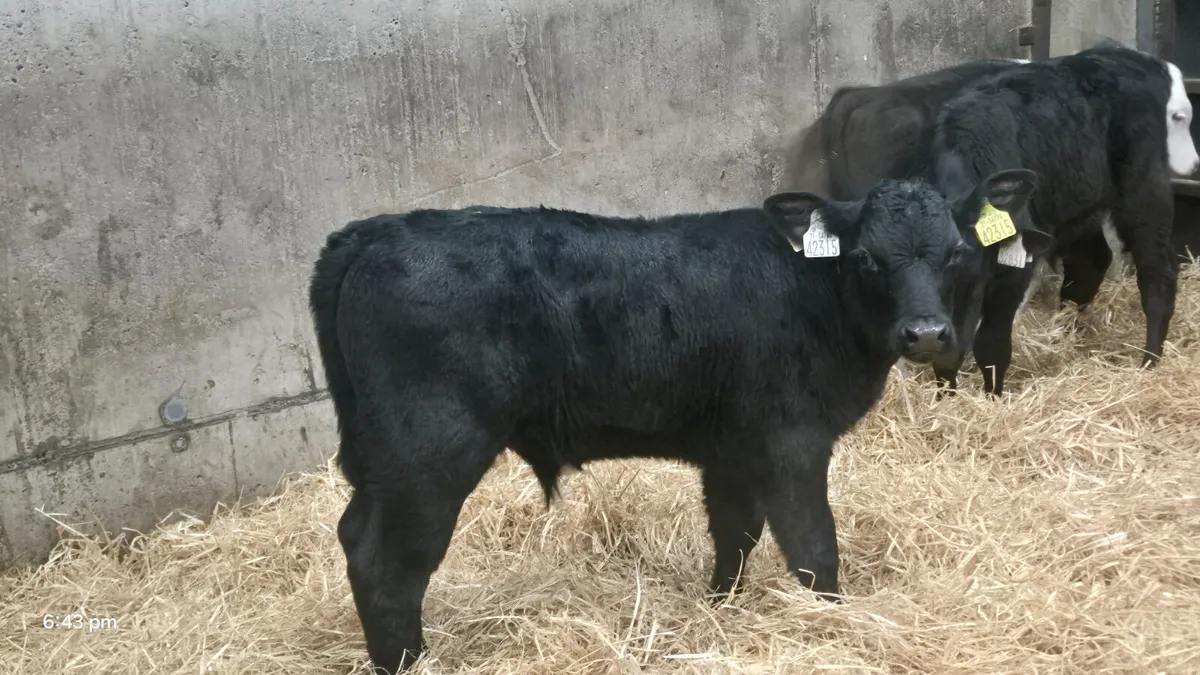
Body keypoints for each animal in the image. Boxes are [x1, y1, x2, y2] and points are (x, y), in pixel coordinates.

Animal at [307, 168, 1037, 672]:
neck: (816, 293)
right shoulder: (793, 441)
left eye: (954, 252)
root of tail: (369, 232)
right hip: (430, 447)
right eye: (867, 258)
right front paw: (828, 630)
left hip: (383, 456)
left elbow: (734, 535)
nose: (927, 334)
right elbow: (813, 549)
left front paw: (720, 611)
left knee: (355, 535)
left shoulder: (733, 448)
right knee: (388, 562)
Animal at [784, 45, 1199, 396]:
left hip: (1144, 191)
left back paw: (1149, 362)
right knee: (1092, 263)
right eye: (874, 260)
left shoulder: (1012, 262)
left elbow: (991, 340)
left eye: (1182, 117)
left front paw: (991, 394)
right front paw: (946, 397)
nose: (1194, 164)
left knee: (1156, 271)